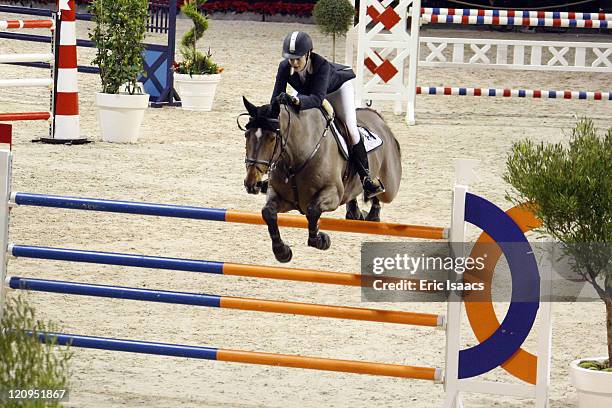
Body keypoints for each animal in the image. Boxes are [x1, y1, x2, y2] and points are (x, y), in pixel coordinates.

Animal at [241, 96, 404, 262]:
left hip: (390, 186)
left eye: (272, 138)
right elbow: (268, 212)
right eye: (247, 134)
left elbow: (312, 211)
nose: (251, 183)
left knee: (381, 192)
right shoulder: (282, 197)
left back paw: (373, 205)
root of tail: (378, 118)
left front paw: (321, 240)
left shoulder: (333, 195)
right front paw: (282, 251)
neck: (296, 157)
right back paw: (357, 212)